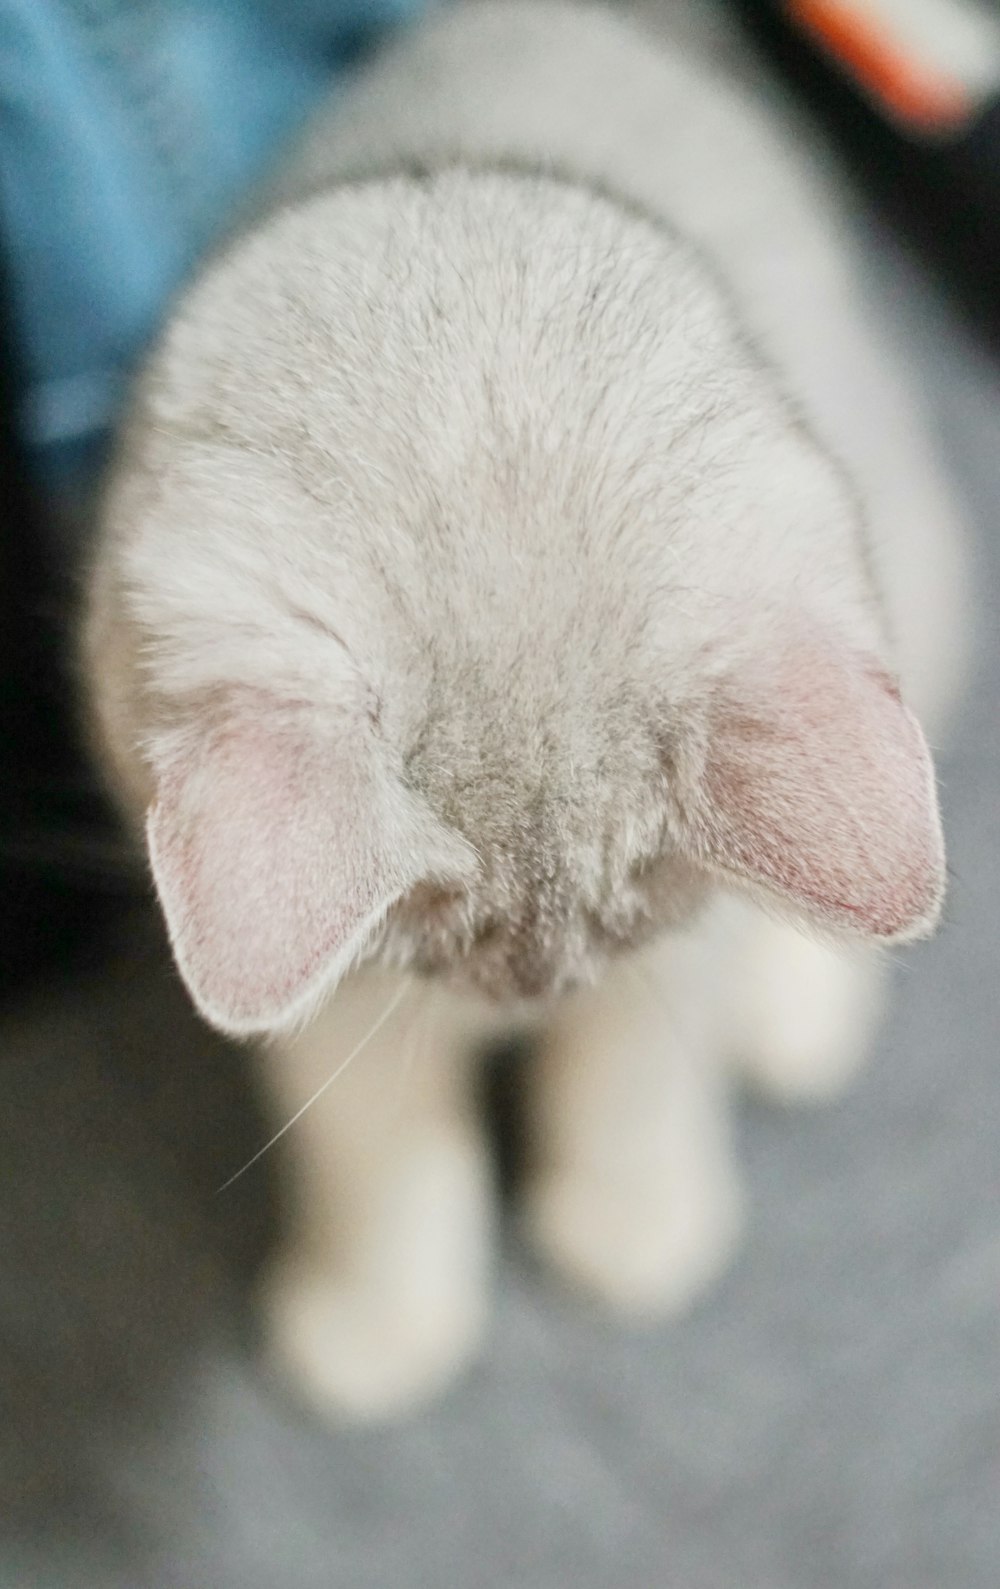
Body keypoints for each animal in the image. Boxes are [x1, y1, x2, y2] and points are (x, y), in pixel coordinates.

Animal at [79, 0, 966, 1417]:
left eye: (615, 930)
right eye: (438, 946)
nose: (530, 999)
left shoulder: (680, 943)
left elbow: (635, 1076)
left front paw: (628, 1220)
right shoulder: (329, 995)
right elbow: (378, 1145)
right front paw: (384, 1320)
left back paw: (796, 1008)